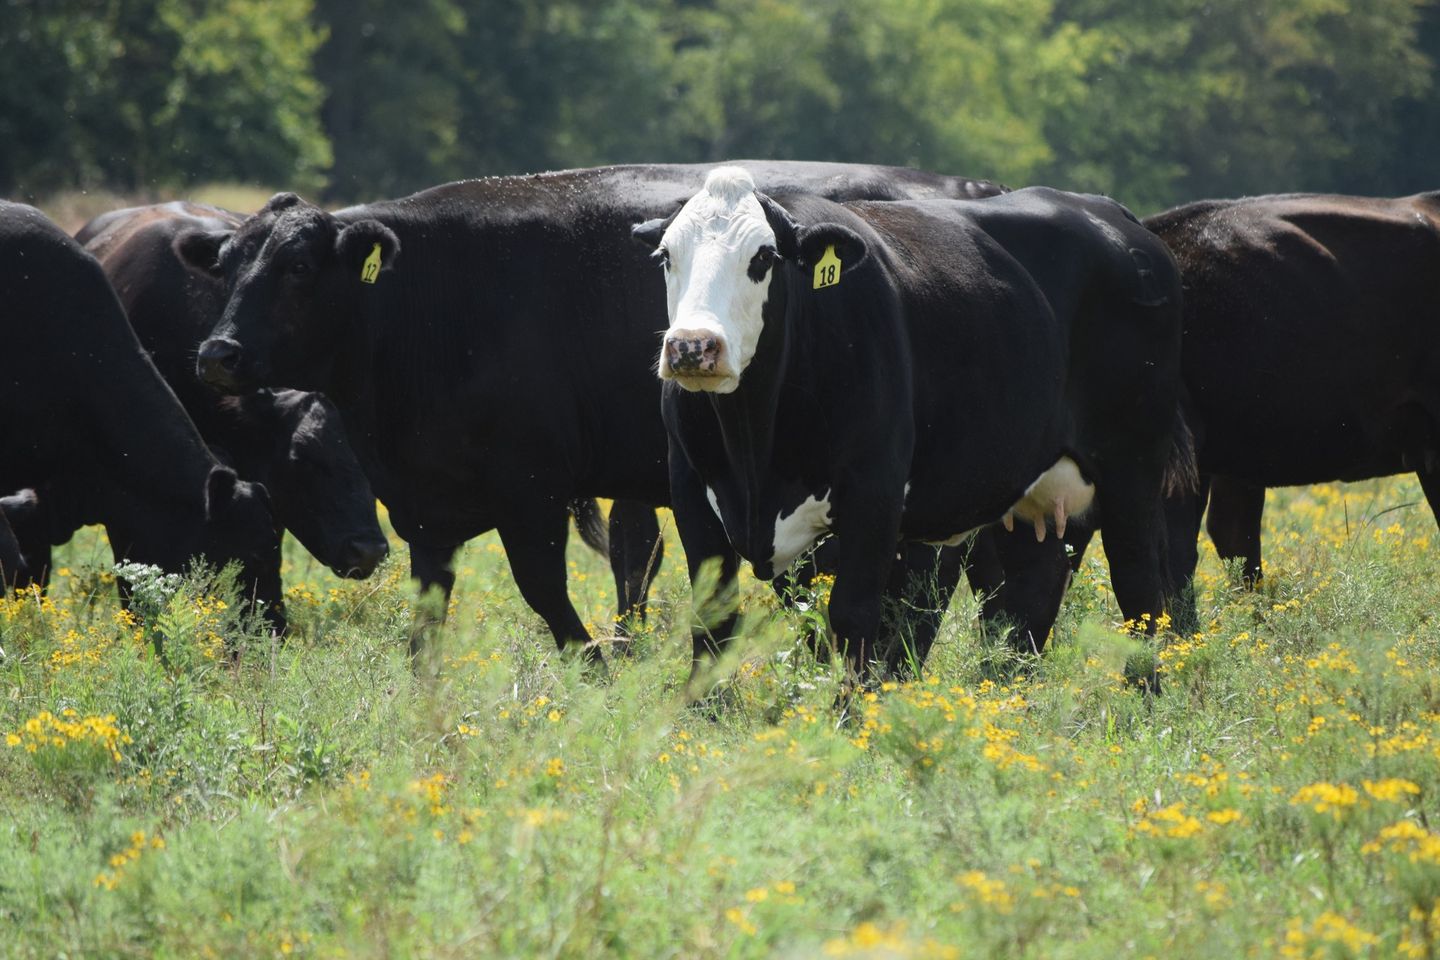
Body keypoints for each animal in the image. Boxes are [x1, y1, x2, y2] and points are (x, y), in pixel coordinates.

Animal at [182, 163, 1002, 662]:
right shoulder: (427, 506)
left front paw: (597, 670)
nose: (217, 352)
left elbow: (545, 592)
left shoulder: (530, 485)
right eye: (226, 265)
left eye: (296, 268)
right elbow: (427, 615)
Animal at [642, 170, 1192, 682]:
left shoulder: (873, 491)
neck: (754, 444)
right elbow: (712, 623)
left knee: (1141, 593)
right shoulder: (690, 489)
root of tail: (1110, 213)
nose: (693, 345)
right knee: (1030, 594)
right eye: (667, 256)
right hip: (1026, 484)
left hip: (1132, 471)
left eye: (762, 257)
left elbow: (854, 618)